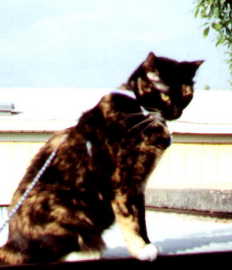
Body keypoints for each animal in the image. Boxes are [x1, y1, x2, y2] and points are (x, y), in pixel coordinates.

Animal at [0, 52, 203, 264]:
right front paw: (141, 250)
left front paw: (148, 244)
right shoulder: (124, 181)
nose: (177, 113)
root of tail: (11, 242)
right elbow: (131, 219)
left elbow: (142, 219)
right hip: (68, 208)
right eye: (165, 95)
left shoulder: (139, 184)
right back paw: (85, 253)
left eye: (187, 96)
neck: (142, 113)